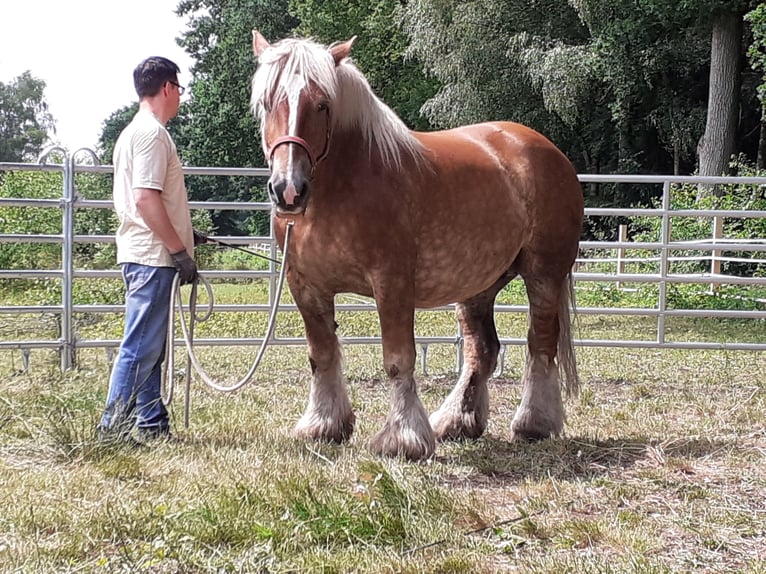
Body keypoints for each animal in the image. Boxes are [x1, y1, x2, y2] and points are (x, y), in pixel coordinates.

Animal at [250, 31, 584, 464]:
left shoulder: (391, 283)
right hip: (478, 286)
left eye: (321, 104)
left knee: (540, 344)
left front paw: (403, 438)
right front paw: (324, 425)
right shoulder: (304, 284)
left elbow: (398, 360)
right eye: (266, 102)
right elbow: (321, 353)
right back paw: (456, 422)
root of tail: (549, 151)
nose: (288, 190)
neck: (345, 182)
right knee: (482, 350)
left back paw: (534, 424)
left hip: (544, 273)